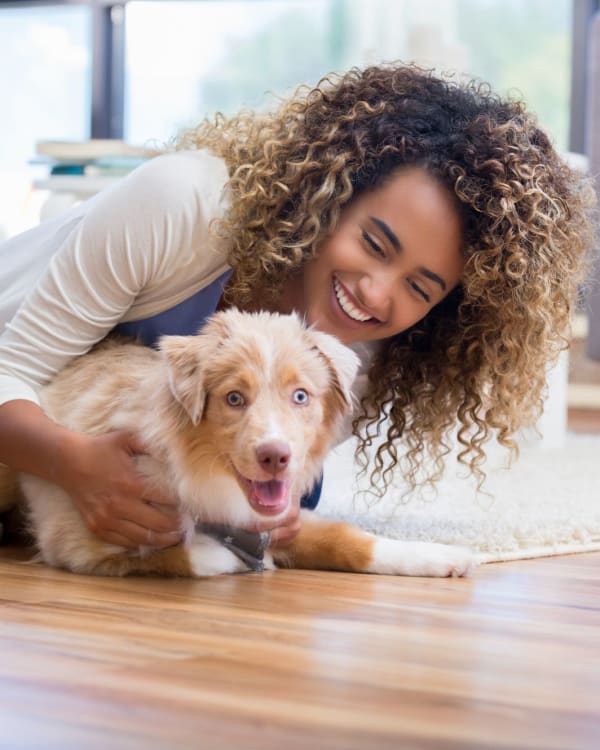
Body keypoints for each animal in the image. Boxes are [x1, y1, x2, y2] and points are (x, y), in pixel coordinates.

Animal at [2, 312, 476, 580]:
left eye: (300, 396)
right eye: (234, 398)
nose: (275, 456)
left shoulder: (279, 519)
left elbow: (349, 539)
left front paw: (443, 556)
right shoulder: (76, 539)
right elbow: (186, 556)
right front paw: (234, 558)